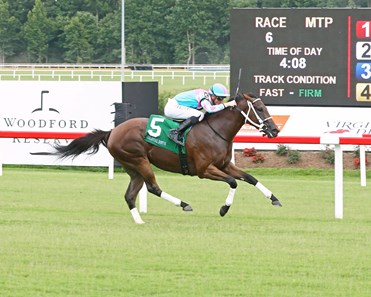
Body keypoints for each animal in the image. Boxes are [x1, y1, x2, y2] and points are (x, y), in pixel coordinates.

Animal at [51, 92, 282, 222]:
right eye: (260, 108)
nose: (275, 130)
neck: (216, 130)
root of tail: (112, 131)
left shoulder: (224, 165)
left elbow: (250, 178)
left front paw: (275, 199)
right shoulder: (204, 170)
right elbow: (233, 182)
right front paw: (224, 209)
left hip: (133, 167)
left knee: (130, 195)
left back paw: (139, 222)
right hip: (139, 160)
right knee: (153, 188)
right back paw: (184, 204)